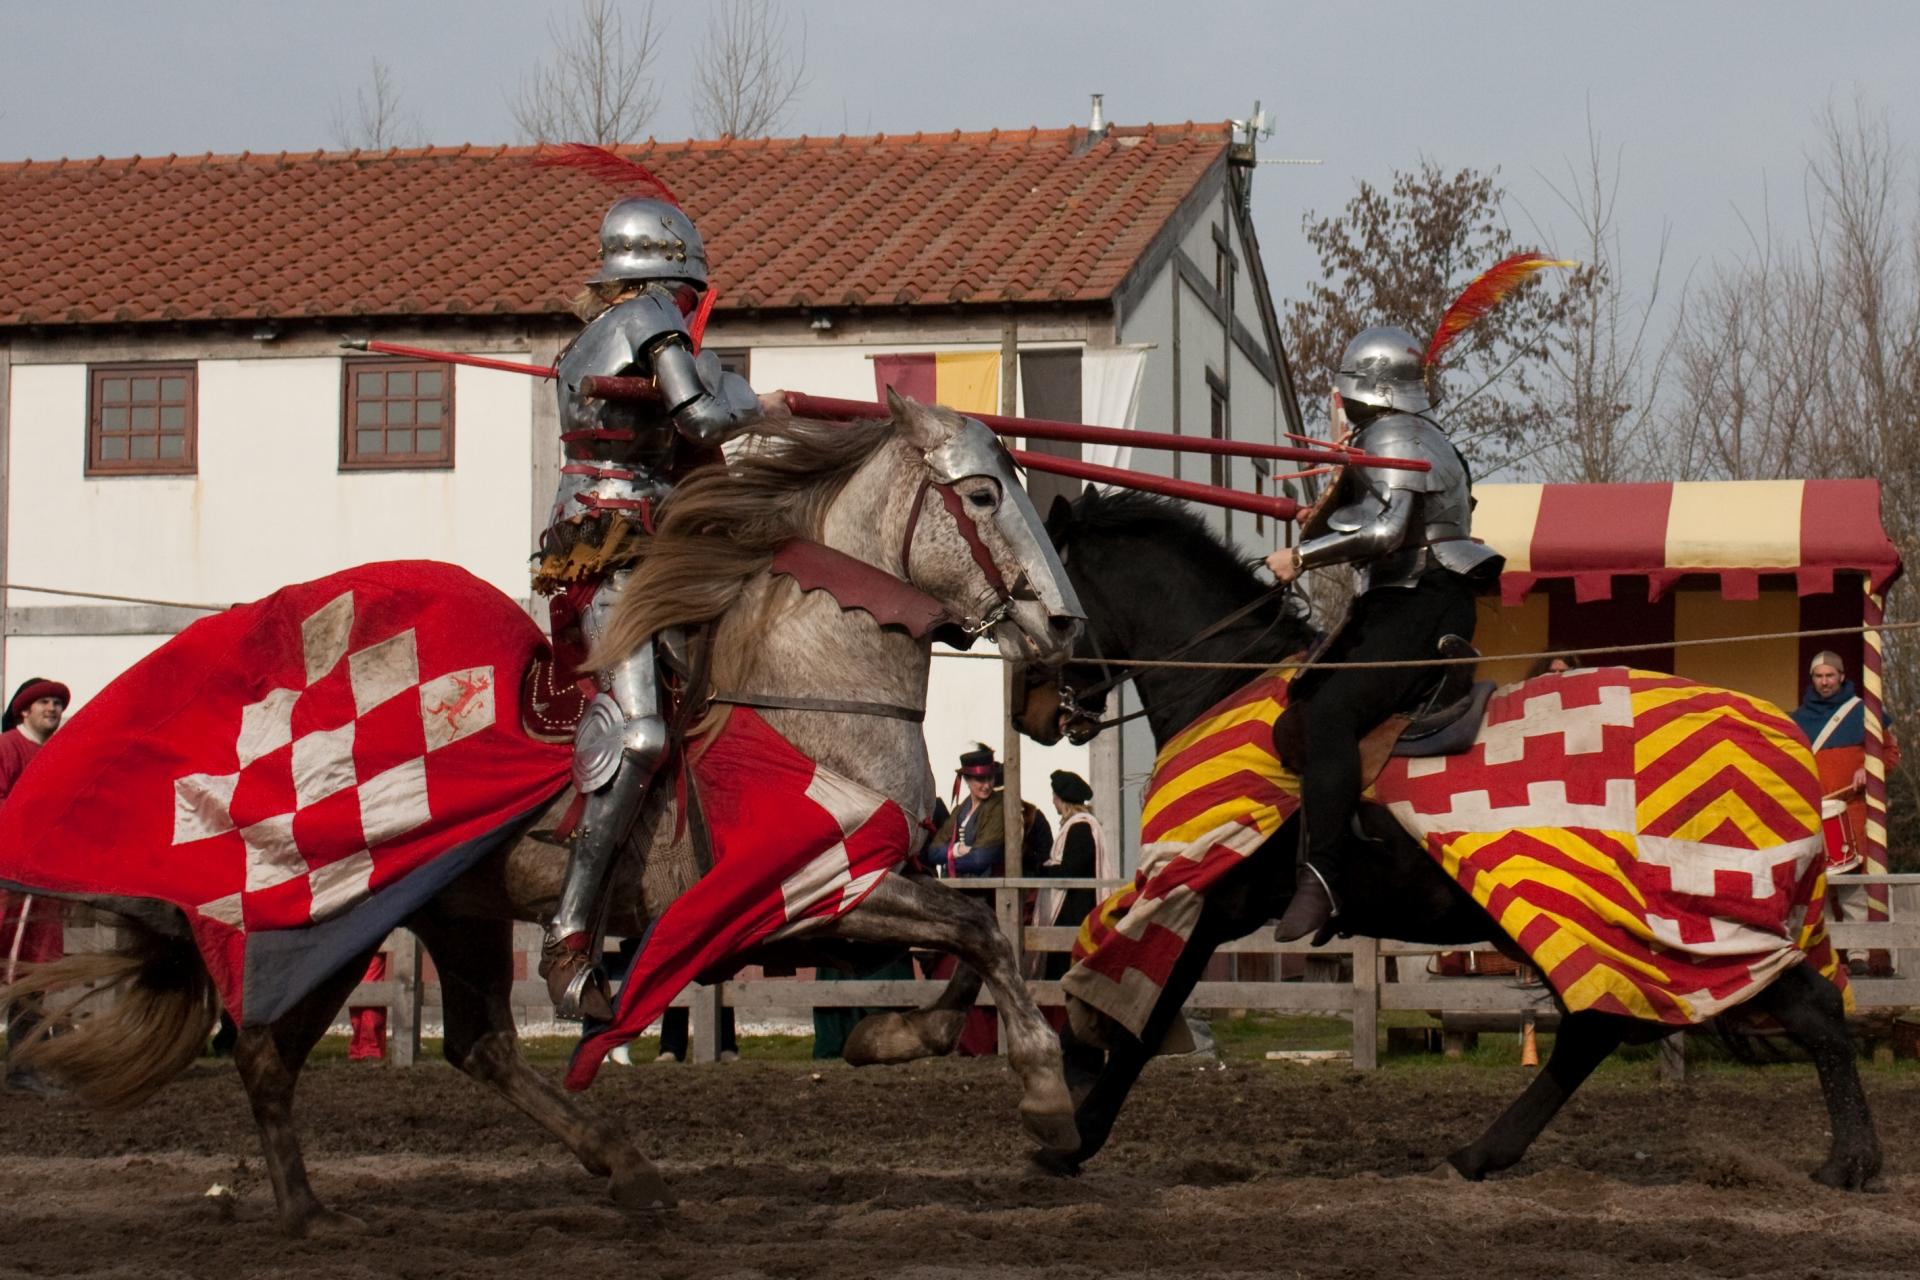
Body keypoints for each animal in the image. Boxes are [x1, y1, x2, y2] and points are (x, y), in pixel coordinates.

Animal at [1013, 491, 1881, 1189]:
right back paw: (1485, 1153)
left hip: (1676, 923)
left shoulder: (1207, 899)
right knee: (1611, 1026)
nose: (1032, 713)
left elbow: (1143, 1011)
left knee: (1791, 1012)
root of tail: (1784, 748)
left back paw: (1851, 1161)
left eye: (1050, 596)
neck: (1224, 681)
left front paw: (1071, 1139)